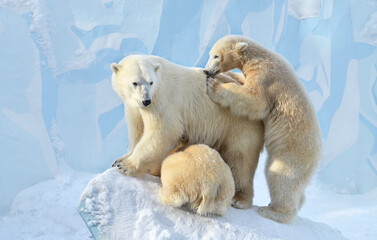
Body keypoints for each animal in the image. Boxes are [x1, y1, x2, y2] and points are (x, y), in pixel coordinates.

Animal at [109, 54, 262, 208]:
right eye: (135, 83)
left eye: (150, 82)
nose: (146, 100)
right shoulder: (134, 107)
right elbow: (138, 129)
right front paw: (119, 159)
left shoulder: (162, 101)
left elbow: (163, 131)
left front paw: (125, 166)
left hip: (238, 125)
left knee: (241, 159)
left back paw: (240, 198)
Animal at [203, 35, 320, 223]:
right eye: (211, 54)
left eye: (216, 56)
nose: (207, 71)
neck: (261, 58)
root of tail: (316, 162)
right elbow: (243, 82)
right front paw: (230, 75)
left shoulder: (266, 78)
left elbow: (255, 100)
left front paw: (215, 86)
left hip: (293, 154)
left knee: (280, 177)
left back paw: (273, 211)